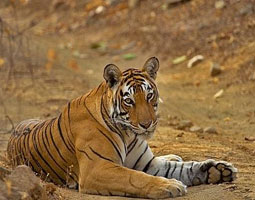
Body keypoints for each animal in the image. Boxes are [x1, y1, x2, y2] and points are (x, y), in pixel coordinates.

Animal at [6, 57, 237, 199]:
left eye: (149, 95)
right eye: (129, 101)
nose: (147, 124)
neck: (128, 134)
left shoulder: (148, 164)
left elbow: (185, 168)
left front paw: (218, 170)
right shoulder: (96, 168)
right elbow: (134, 177)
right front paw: (169, 185)